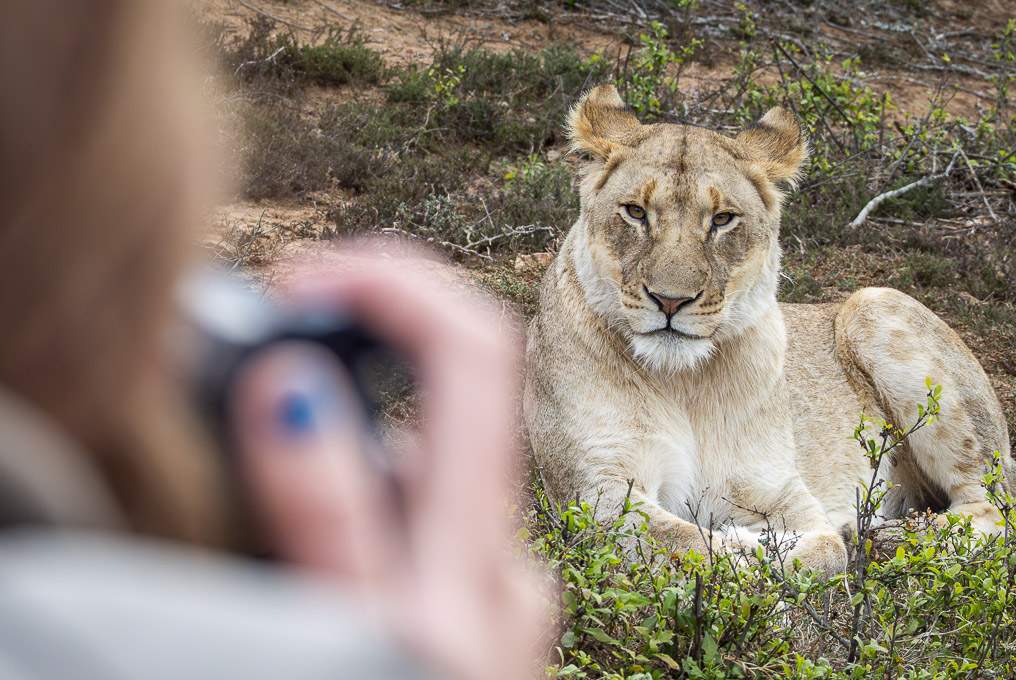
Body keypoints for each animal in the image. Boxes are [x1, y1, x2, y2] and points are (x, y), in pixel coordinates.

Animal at [522, 84, 1012, 575]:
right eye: (636, 212)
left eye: (722, 219)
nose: (671, 300)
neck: (685, 384)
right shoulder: (596, 489)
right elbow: (685, 542)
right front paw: (742, 545)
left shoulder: (776, 488)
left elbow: (823, 548)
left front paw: (758, 543)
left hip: (875, 303)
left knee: (995, 507)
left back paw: (894, 537)